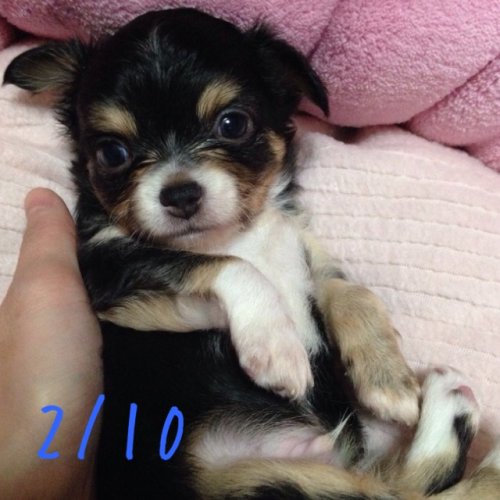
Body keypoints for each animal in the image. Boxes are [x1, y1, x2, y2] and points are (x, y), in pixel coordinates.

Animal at [5, 8, 500, 499]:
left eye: (232, 124)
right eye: (112, 152)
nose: (179, 194)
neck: (234, 233)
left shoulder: (307, 257)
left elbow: (352, 293)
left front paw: (387, 380)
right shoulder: (108, 277)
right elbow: (233, 267)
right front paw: (277, 347)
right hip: (261, 482)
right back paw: (457, 410)